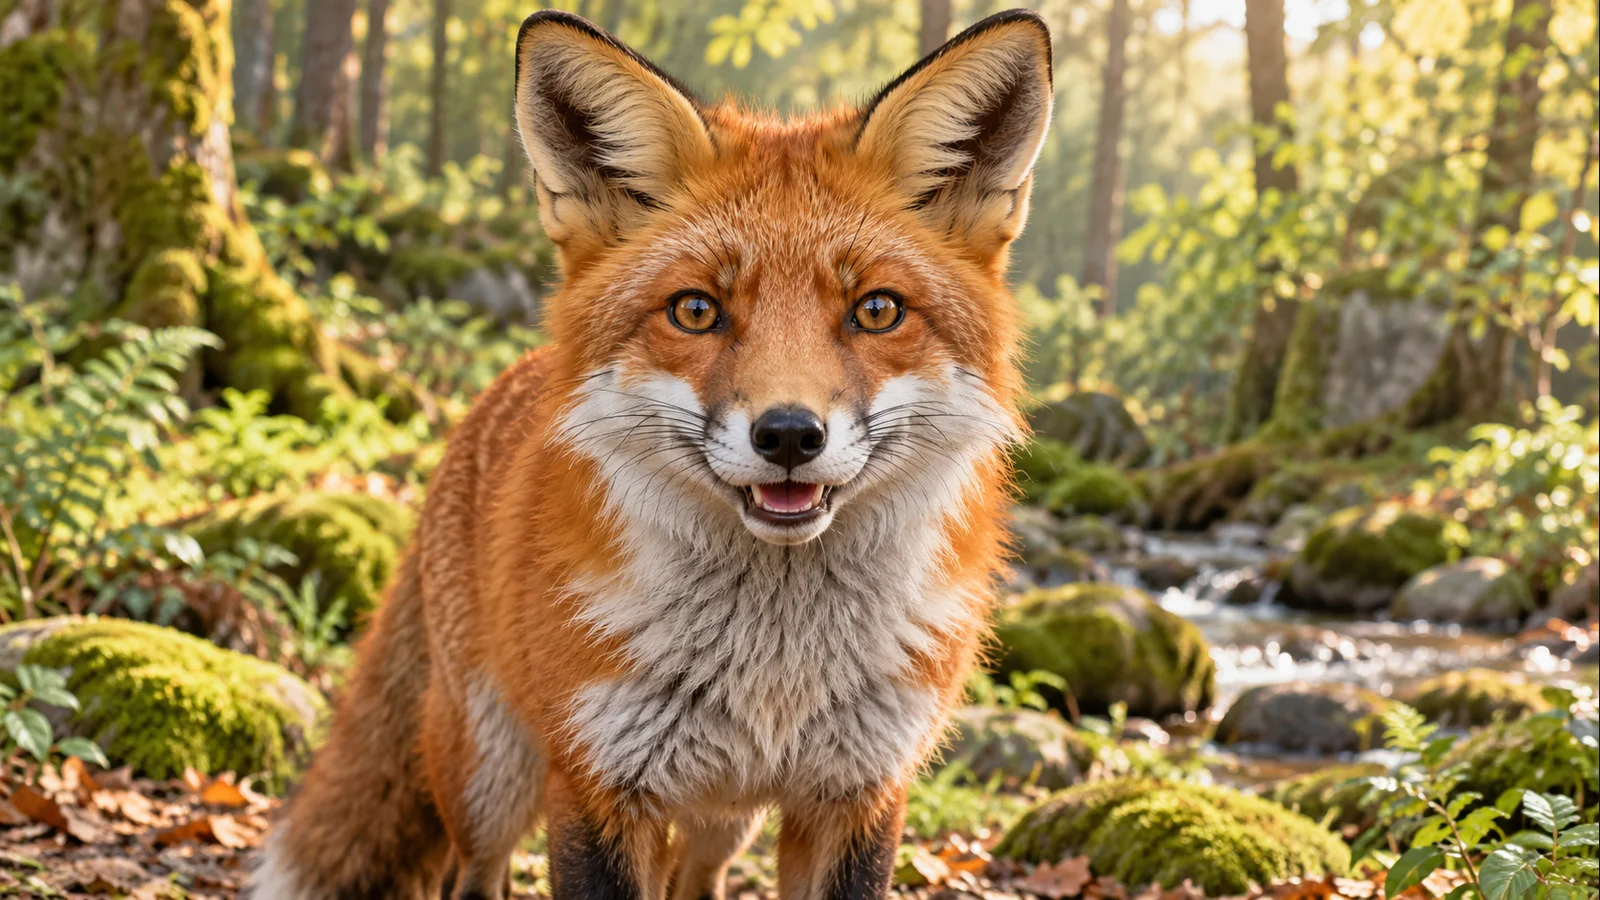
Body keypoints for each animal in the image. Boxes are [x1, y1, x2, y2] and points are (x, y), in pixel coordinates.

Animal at [252, 8, 1053, 900]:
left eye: (877, 310)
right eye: (696, 310)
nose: (788, 435)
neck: (773, 672)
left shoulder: (860, 795)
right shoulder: (597, 783)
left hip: (722, 821)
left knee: (695, 877)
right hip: (491, 776)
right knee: (469, 873)